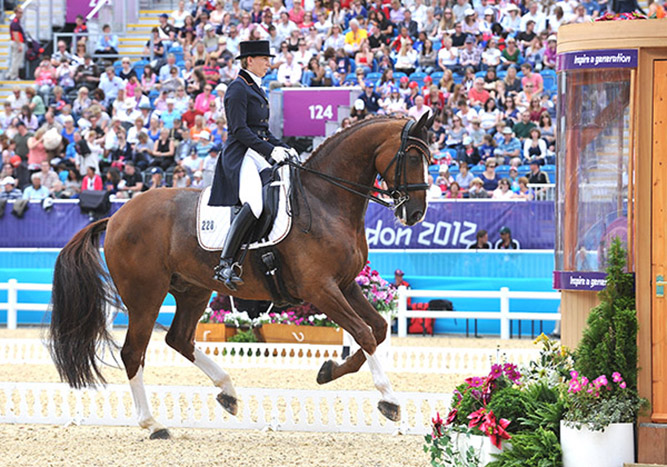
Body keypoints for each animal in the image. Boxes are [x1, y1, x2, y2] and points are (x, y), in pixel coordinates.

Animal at [45, 112, 434, 438]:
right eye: (414, 157)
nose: (415, 213)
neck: (325, 201)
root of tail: (117, 216)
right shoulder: (320, 289)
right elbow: (364, 333)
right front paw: (389, 401)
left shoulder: (345, 284)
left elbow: (377, 330)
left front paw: (327, 371)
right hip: (146, 295)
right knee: (133, 351)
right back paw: (153, 423)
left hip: (192, 290)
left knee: (179, 339)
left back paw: (227, 392)